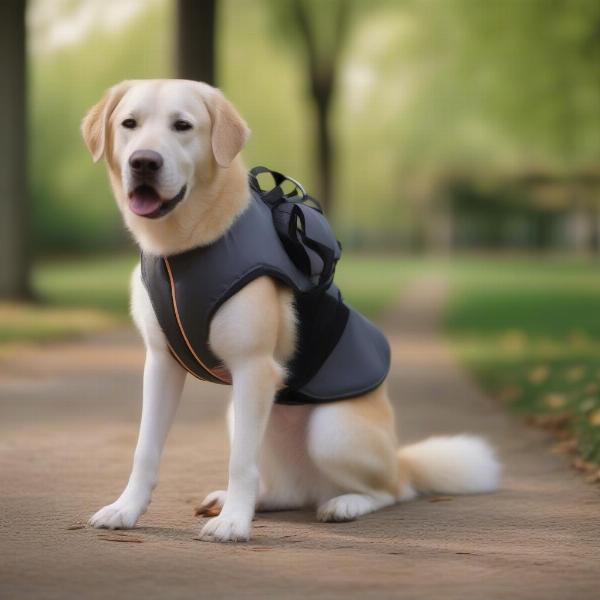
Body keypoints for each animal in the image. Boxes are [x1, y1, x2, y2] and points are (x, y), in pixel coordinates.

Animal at [81, 79, 502, 544]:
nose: (144, 162)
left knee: (391, 491)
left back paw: (343, 503)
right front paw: (126, 509)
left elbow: (240, 463)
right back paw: (245, 500)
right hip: (243, 416)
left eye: (182, 126)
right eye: (129, 124)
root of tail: (398, 458)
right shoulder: (161, 364)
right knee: (285, 489)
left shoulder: (253, 368)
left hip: (329, 432)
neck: (183, 250)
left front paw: (233, 524)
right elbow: (146, 449)